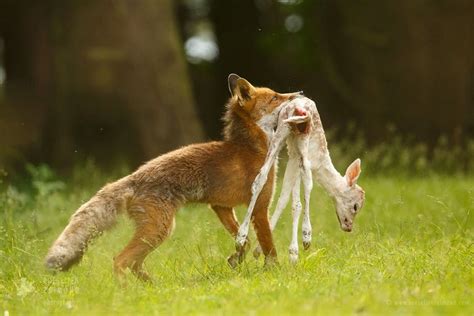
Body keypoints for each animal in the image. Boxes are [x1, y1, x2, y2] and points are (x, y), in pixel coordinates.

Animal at [45, 74, 304, 282]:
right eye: (275, 97)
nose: (300, 93)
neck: (252, 148)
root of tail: (132, 178)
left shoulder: (220, 205)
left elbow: (245, 241)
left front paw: (235, 259)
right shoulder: (260, 205)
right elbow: (269, 245)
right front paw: (276, 273)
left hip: (157, 232)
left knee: (134, 264)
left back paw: (152, 287)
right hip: (160, 229)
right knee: (120, 260)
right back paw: (125, 292)